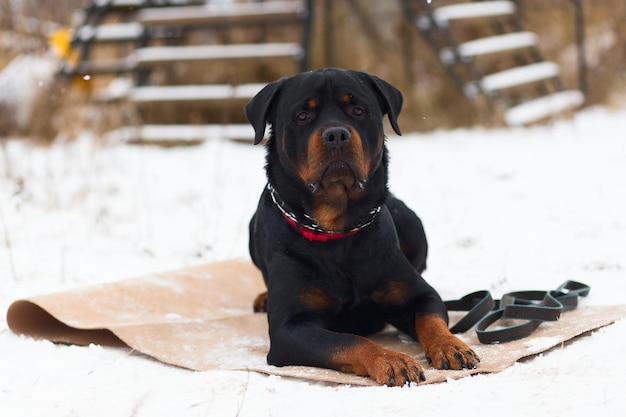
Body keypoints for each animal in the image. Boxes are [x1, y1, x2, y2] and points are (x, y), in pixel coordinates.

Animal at [244, 67, 478, 384]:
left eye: (358, 110)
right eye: (302, 115)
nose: (336, 134)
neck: (337, 230)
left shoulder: (420, 296)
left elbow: (430, 318)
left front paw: (451, 345)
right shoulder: (289, 329)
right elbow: (348, 340)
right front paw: (391, 360)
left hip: (412, 223)